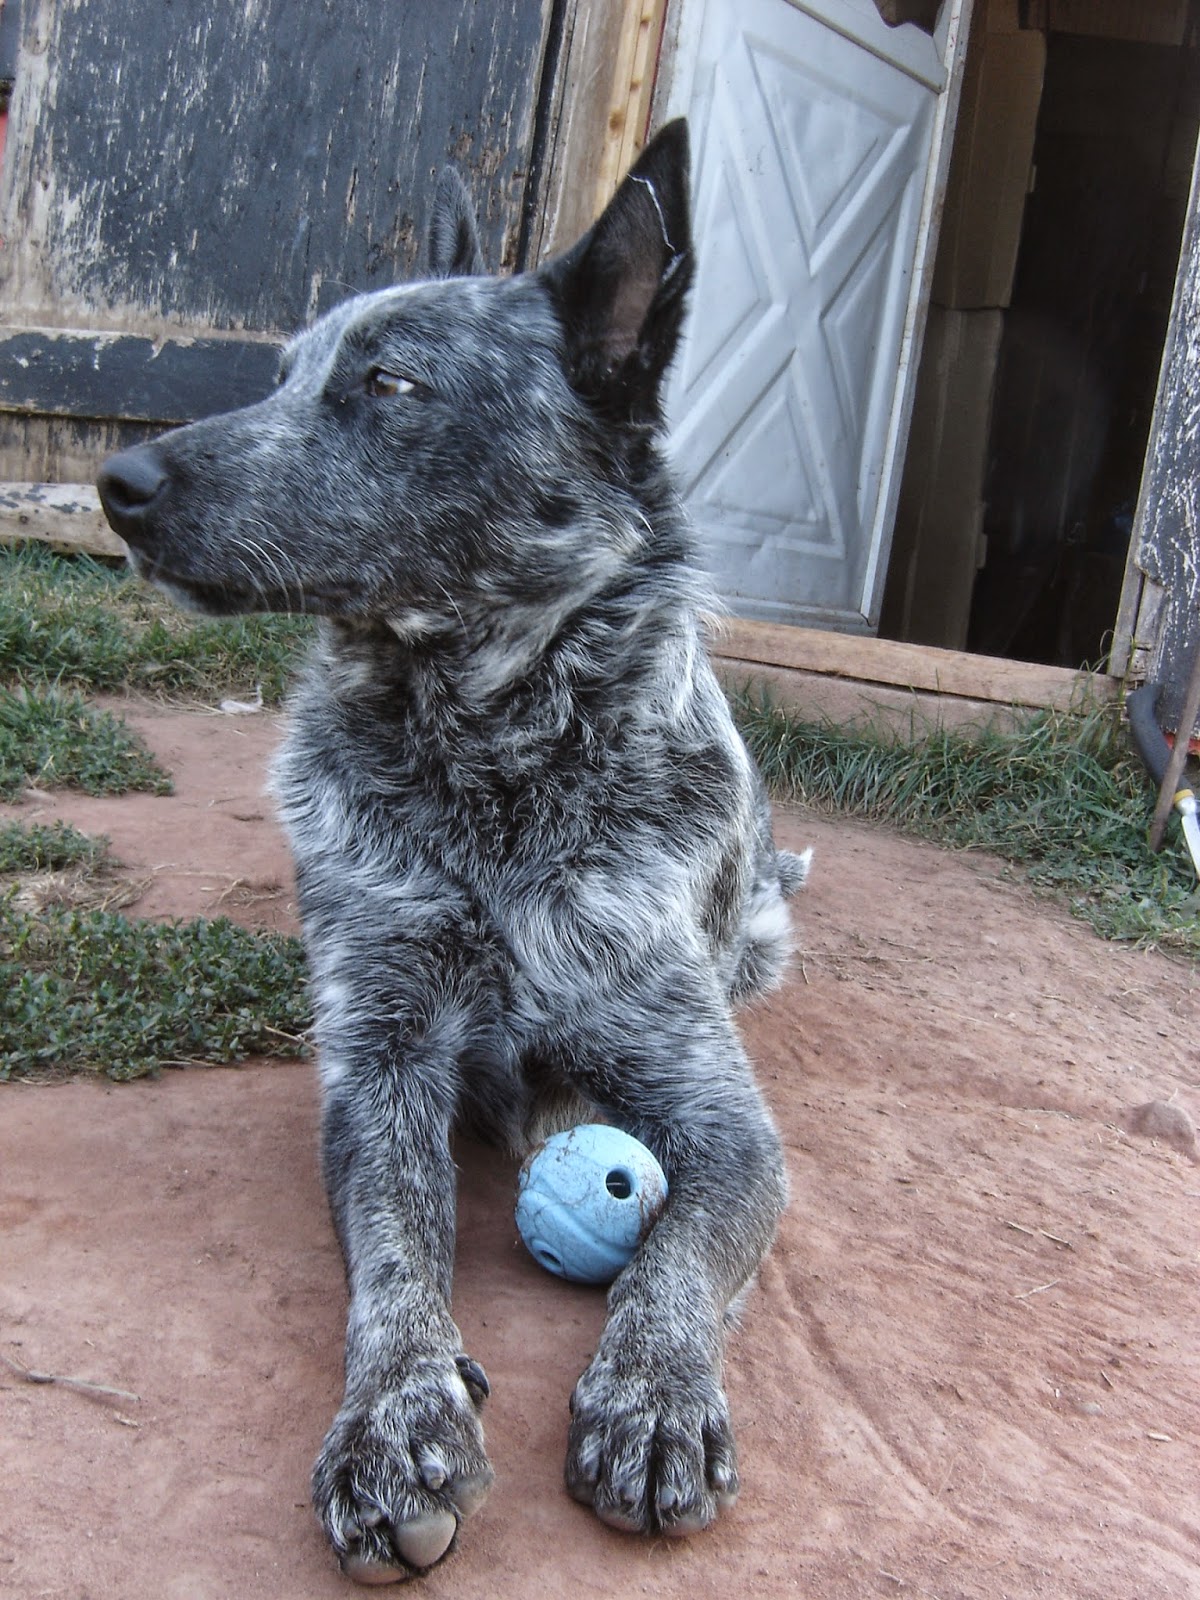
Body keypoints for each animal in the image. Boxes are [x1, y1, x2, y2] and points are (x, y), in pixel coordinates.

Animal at [97, 120, 808, 1584]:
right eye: (284, 374)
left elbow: (675, 1259)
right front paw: (395, 1423)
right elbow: (395, 1260)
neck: (492, 774)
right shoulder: (379, 1067)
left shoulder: (726, 1118)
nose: (118, 484)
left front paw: (655, 1399)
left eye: (391, 381)